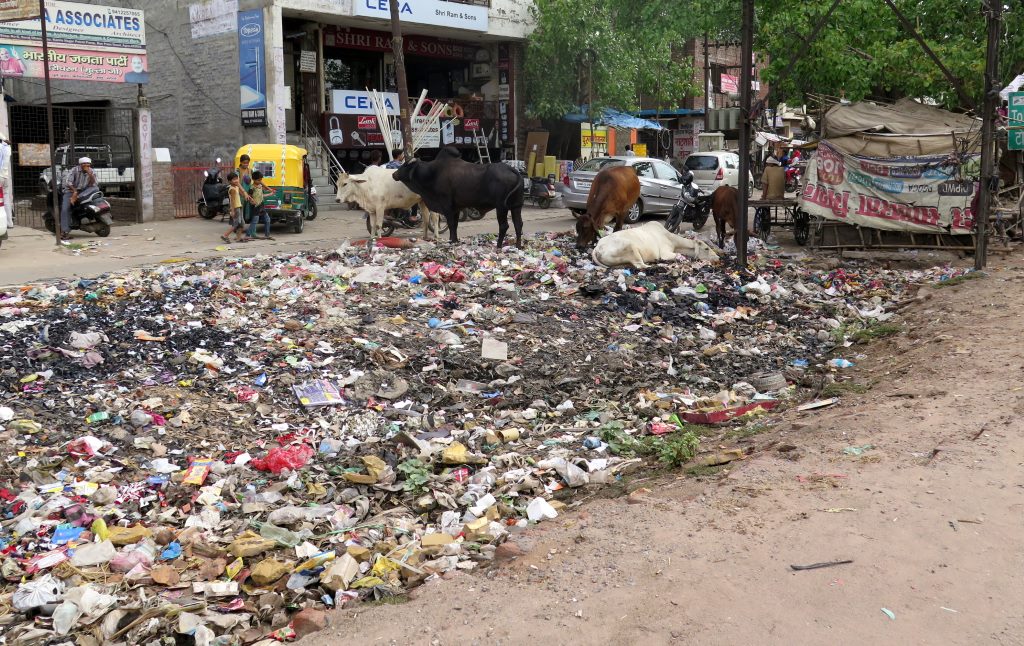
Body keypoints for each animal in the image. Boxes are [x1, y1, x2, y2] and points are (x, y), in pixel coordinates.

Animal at [387, 147, 524, 248]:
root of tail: (512, 169)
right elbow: (456, 224)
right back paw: (518, 246)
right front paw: (456, 240)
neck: (432, 173)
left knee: (504, 226)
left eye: (405, 165)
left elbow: (451, 224)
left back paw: (499, 245)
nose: (394, 174)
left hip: (501, 207)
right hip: (516, 206)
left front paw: (452, 241)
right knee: (518, 225)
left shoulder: (447, 206)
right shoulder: (456, 208)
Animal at [589, 221, 724, 268]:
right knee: (640, 265)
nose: (717, 257)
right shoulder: (665, 252)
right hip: (630, 248)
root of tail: (597, 248)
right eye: (706, 248)